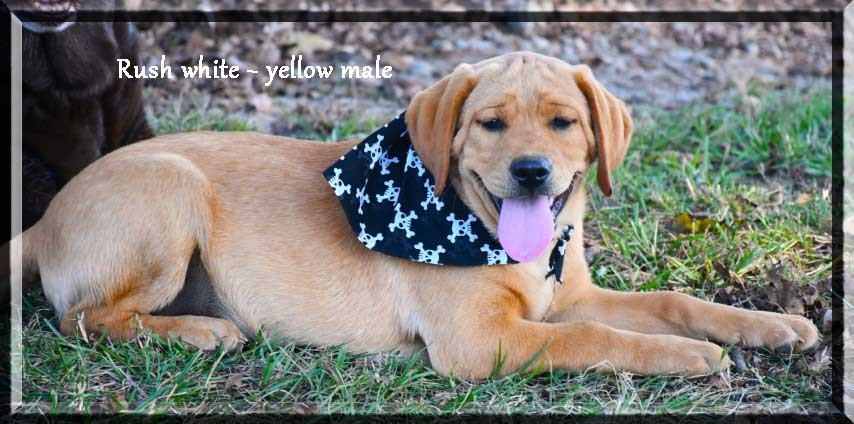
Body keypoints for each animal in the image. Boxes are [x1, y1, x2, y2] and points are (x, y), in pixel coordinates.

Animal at [14, 52, 818, 379]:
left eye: (564, 122)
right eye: (491, 124)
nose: (532, 171)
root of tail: (42, 221)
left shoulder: (568, 297)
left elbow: (674, 300)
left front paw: (772, 325)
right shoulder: (482, 341)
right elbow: (598, 338)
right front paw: (690, 357)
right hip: (169, 188)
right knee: (82, 318)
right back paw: (199, 331)